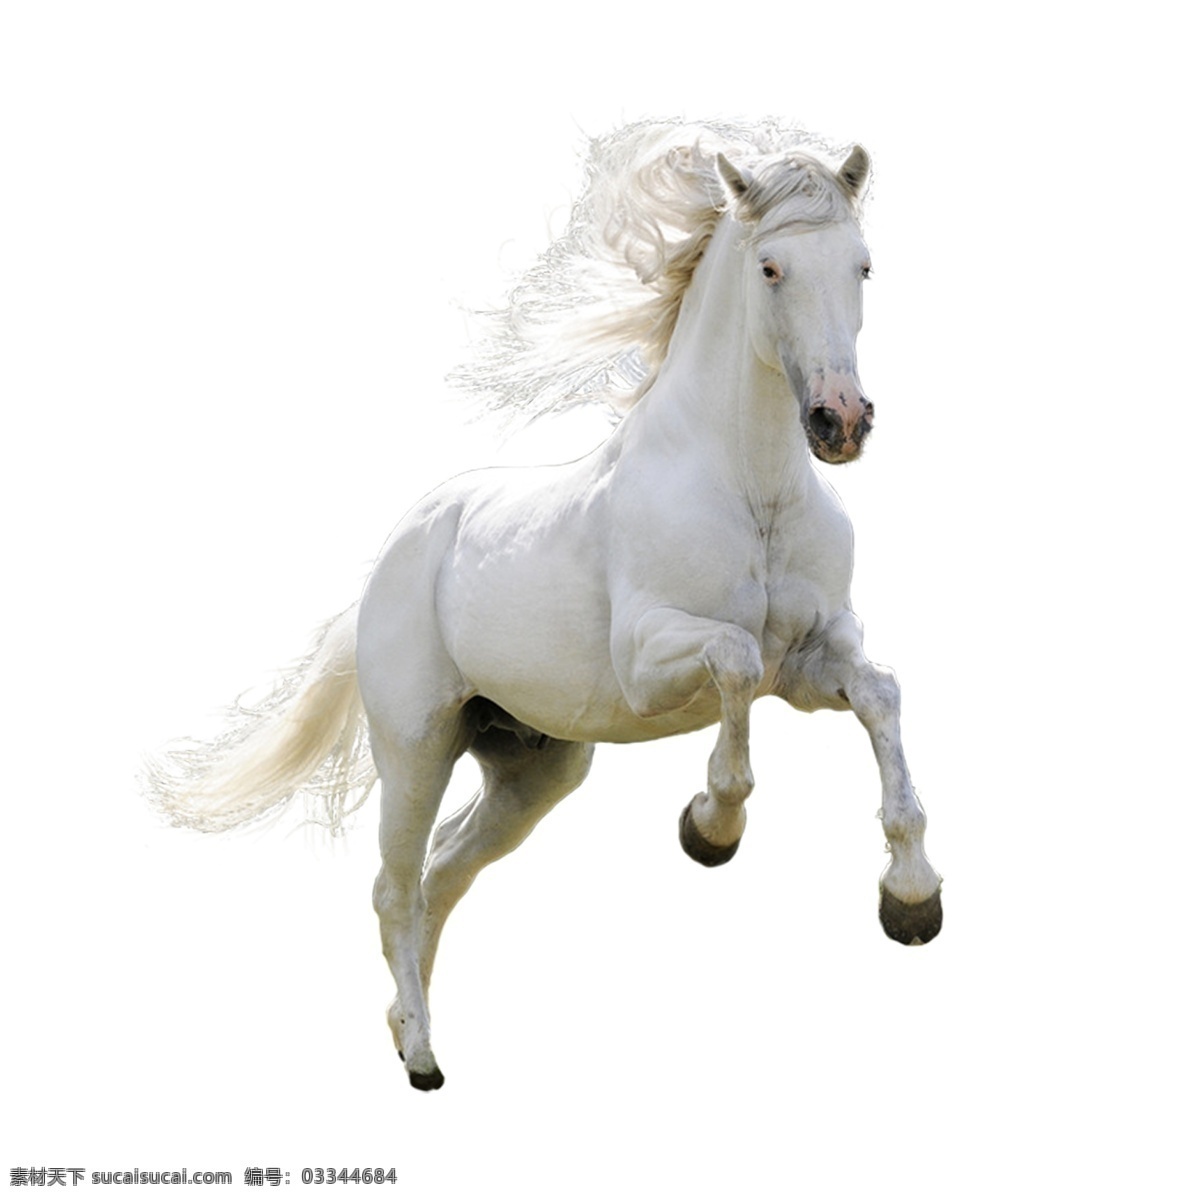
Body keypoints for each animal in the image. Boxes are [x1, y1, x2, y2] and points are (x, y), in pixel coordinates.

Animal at [147, 120, 943, 1091]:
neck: (752, 488)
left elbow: (881, 693)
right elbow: (734, 662)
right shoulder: (653, 662)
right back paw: (421, 1054)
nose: (840, 421)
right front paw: (711, 827)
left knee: (441, 876)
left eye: (863, 265)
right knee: (393, 885)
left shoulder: (816, 656)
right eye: (770, 268)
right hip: (416, 747)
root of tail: (395, 557)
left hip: (533, 768)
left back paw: (404, 1022)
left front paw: (912, 900)